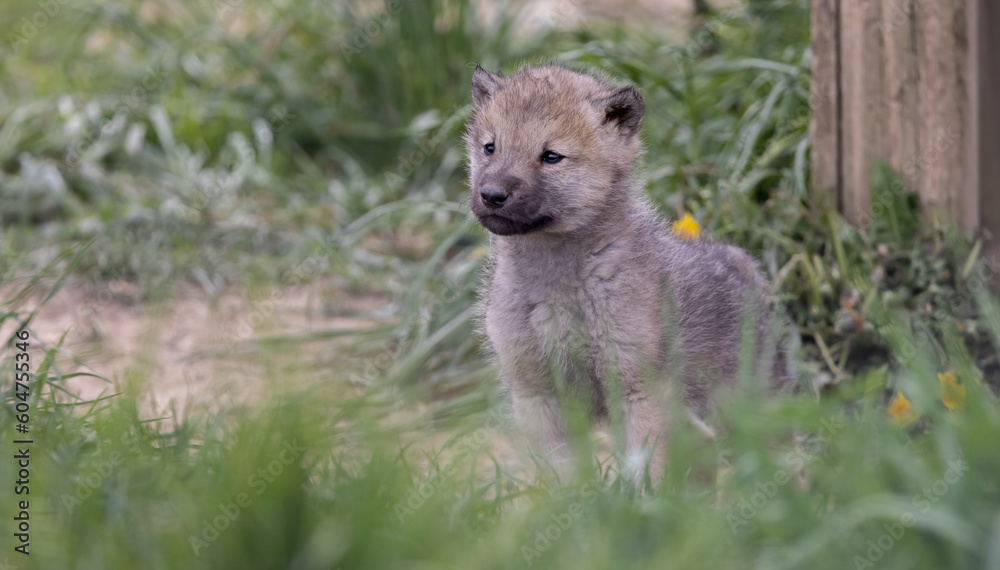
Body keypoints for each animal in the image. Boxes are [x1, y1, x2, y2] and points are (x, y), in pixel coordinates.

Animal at [466, 64, 794, 481]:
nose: (491, 195)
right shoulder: (536, 393)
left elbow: (648, 473)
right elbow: (564, 479)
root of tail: (744, 262)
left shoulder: (637, 389)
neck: (559, 290)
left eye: (551, 156)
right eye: (490, 147)